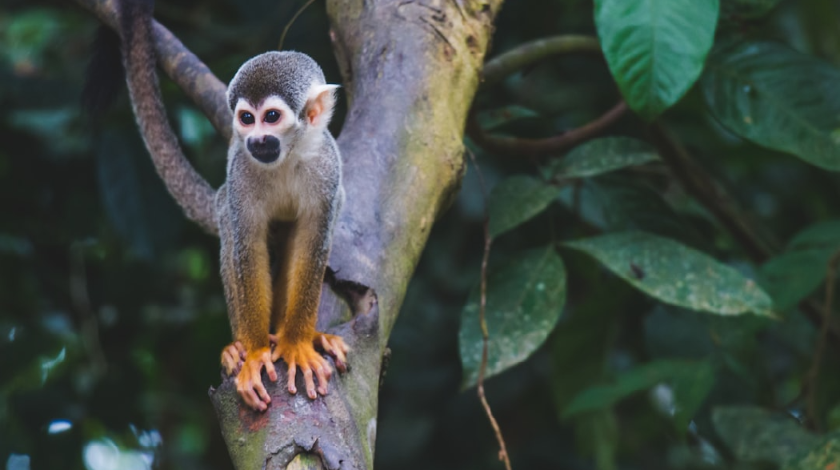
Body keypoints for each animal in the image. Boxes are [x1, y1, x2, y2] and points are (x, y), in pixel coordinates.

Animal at [102, 0, 349, 411]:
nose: (257, 140)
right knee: (231, 230)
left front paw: (297, 343)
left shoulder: (327, 167)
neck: (288, 156)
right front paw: (255, 354)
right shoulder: (241, 173)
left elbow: (313, 241)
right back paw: (239, 348)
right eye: (247, 119)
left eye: (271, 117)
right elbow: (246, 246)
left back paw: (308, 335)